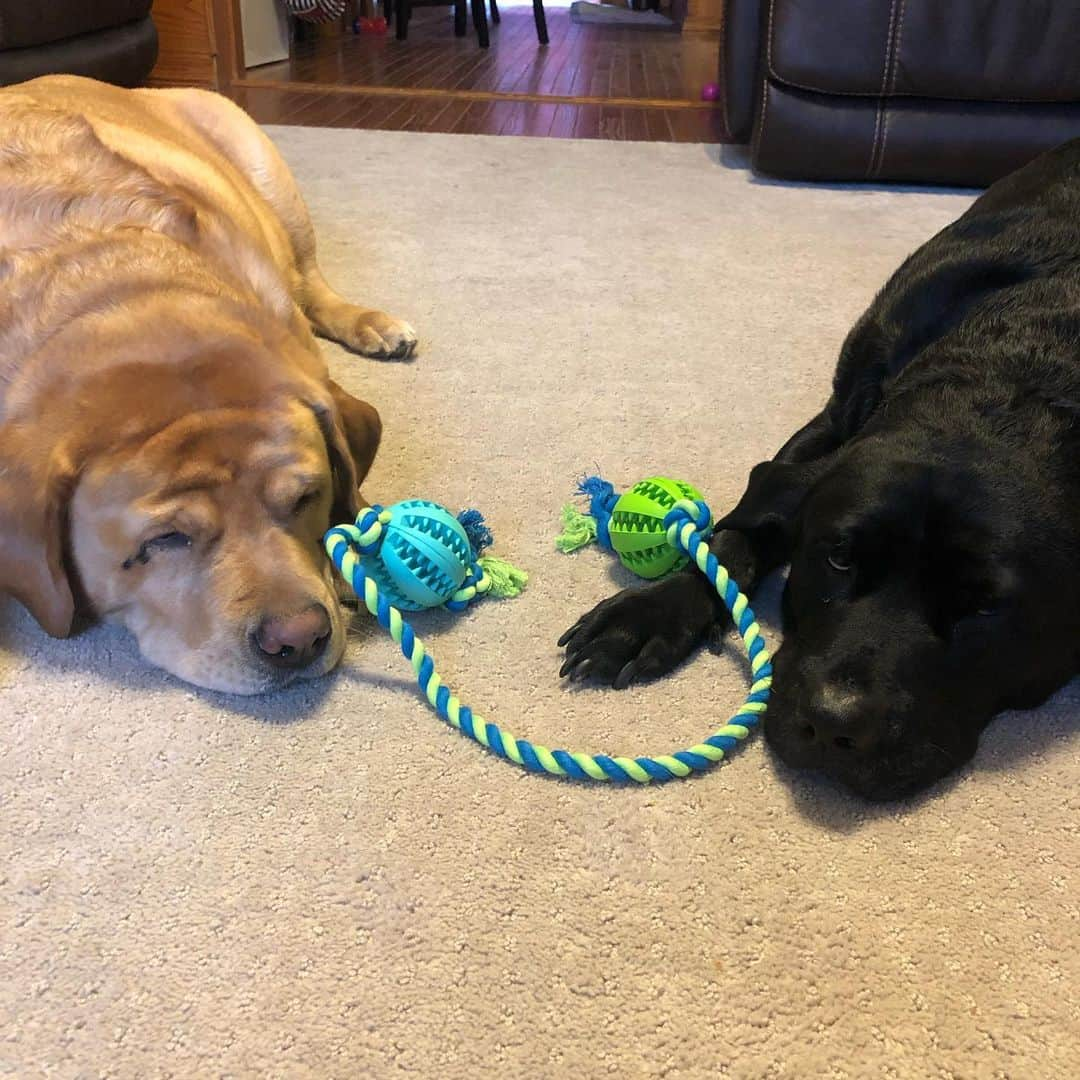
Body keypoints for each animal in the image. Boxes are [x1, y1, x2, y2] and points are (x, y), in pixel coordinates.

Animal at [561, 139, 1075, 803]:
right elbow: (743, 528)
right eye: (838, 558)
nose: (834, 724)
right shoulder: (834, 419)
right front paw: (651, 611)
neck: (1020, 378)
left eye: (986, 607)